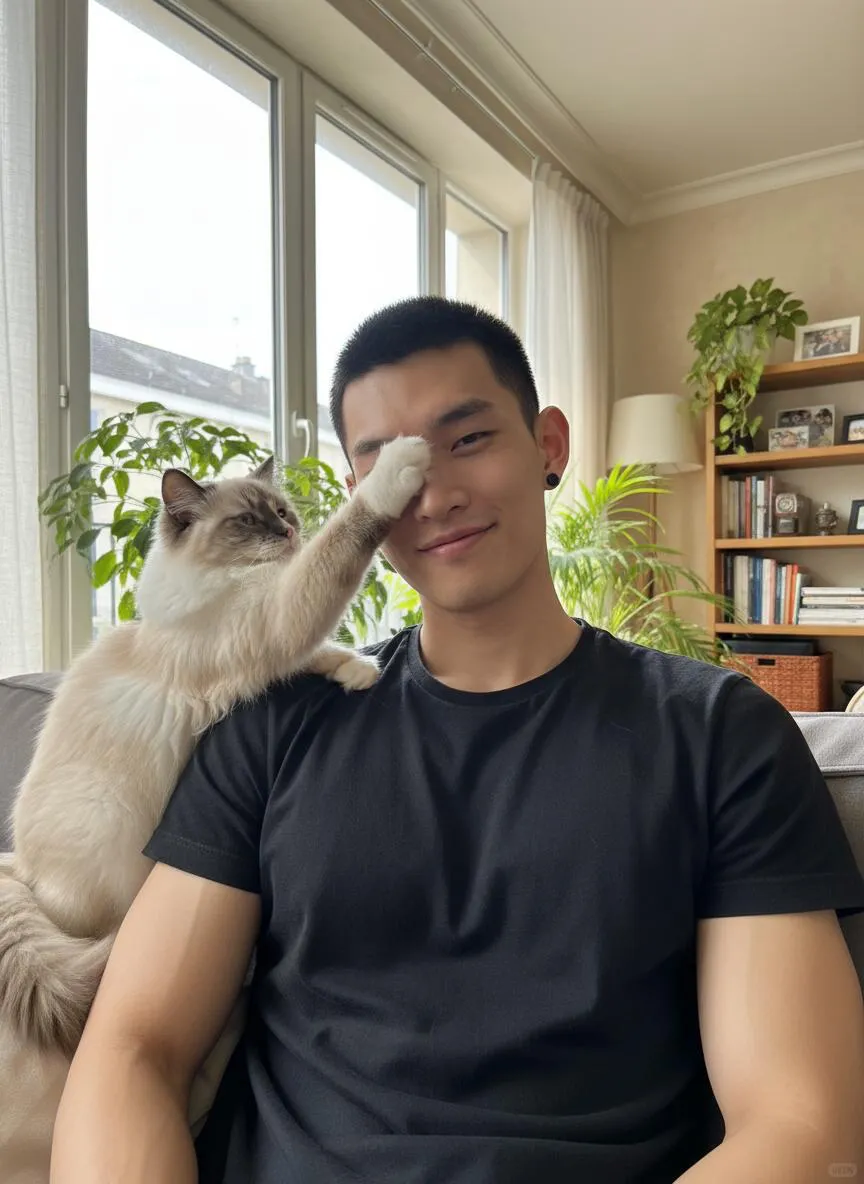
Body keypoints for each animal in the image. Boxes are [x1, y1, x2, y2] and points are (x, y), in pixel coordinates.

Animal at [0, 433, 429, 1182]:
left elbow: (320, 649)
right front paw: (401, 467)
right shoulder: (273, 616)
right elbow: (341, 546)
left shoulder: (273, 631)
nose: (287, 533)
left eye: (282, 512)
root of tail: (17, 866)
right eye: (250, 522)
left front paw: (360, 672)